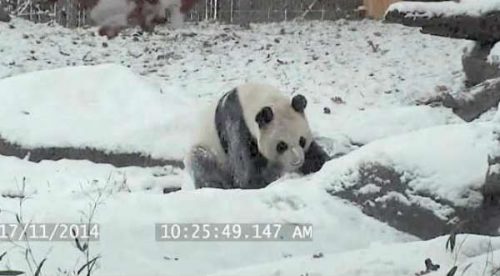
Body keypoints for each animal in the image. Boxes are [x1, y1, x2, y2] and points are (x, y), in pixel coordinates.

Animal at [186, 83, 330, 189]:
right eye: (281, 145)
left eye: (302, 141)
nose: (297, 161)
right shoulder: (236, 124)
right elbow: (244, 171)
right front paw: (262, 181)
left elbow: (313, 152)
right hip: (209, 151)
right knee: (203, 163)